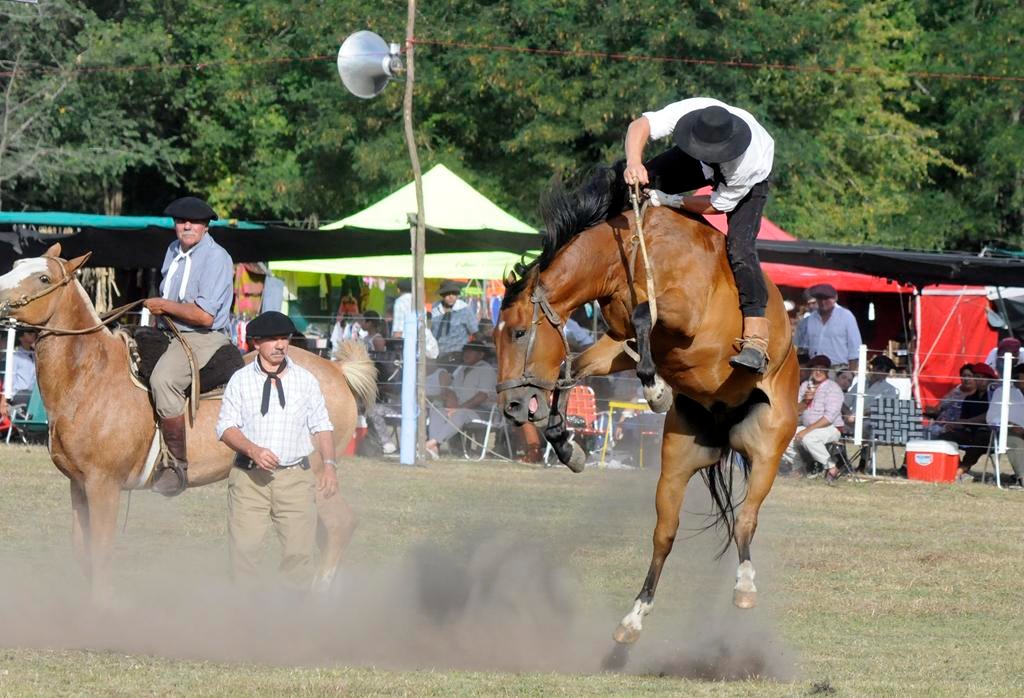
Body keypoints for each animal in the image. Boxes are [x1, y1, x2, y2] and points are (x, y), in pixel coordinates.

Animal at [0, 245, 376, 601]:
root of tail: (336, 371)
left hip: (314, 473)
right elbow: (82, 551)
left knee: (340, 525)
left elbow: (101, 551)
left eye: (44, 278)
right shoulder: (79, 485)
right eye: (16, 266)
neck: (90, 377)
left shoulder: (103, 485)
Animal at [495, 166, 798, 642]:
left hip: (767, 449)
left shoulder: (681, 313)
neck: (633, 256)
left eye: (519, 332)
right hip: (676, 463)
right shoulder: (618, 341)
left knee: (747, 518)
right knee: (665, 535)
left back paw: (745, 586)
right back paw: (633, 618)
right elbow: (575, 367)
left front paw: (656, 391)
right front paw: (566, 444)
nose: (510, 405)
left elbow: (643, 315)